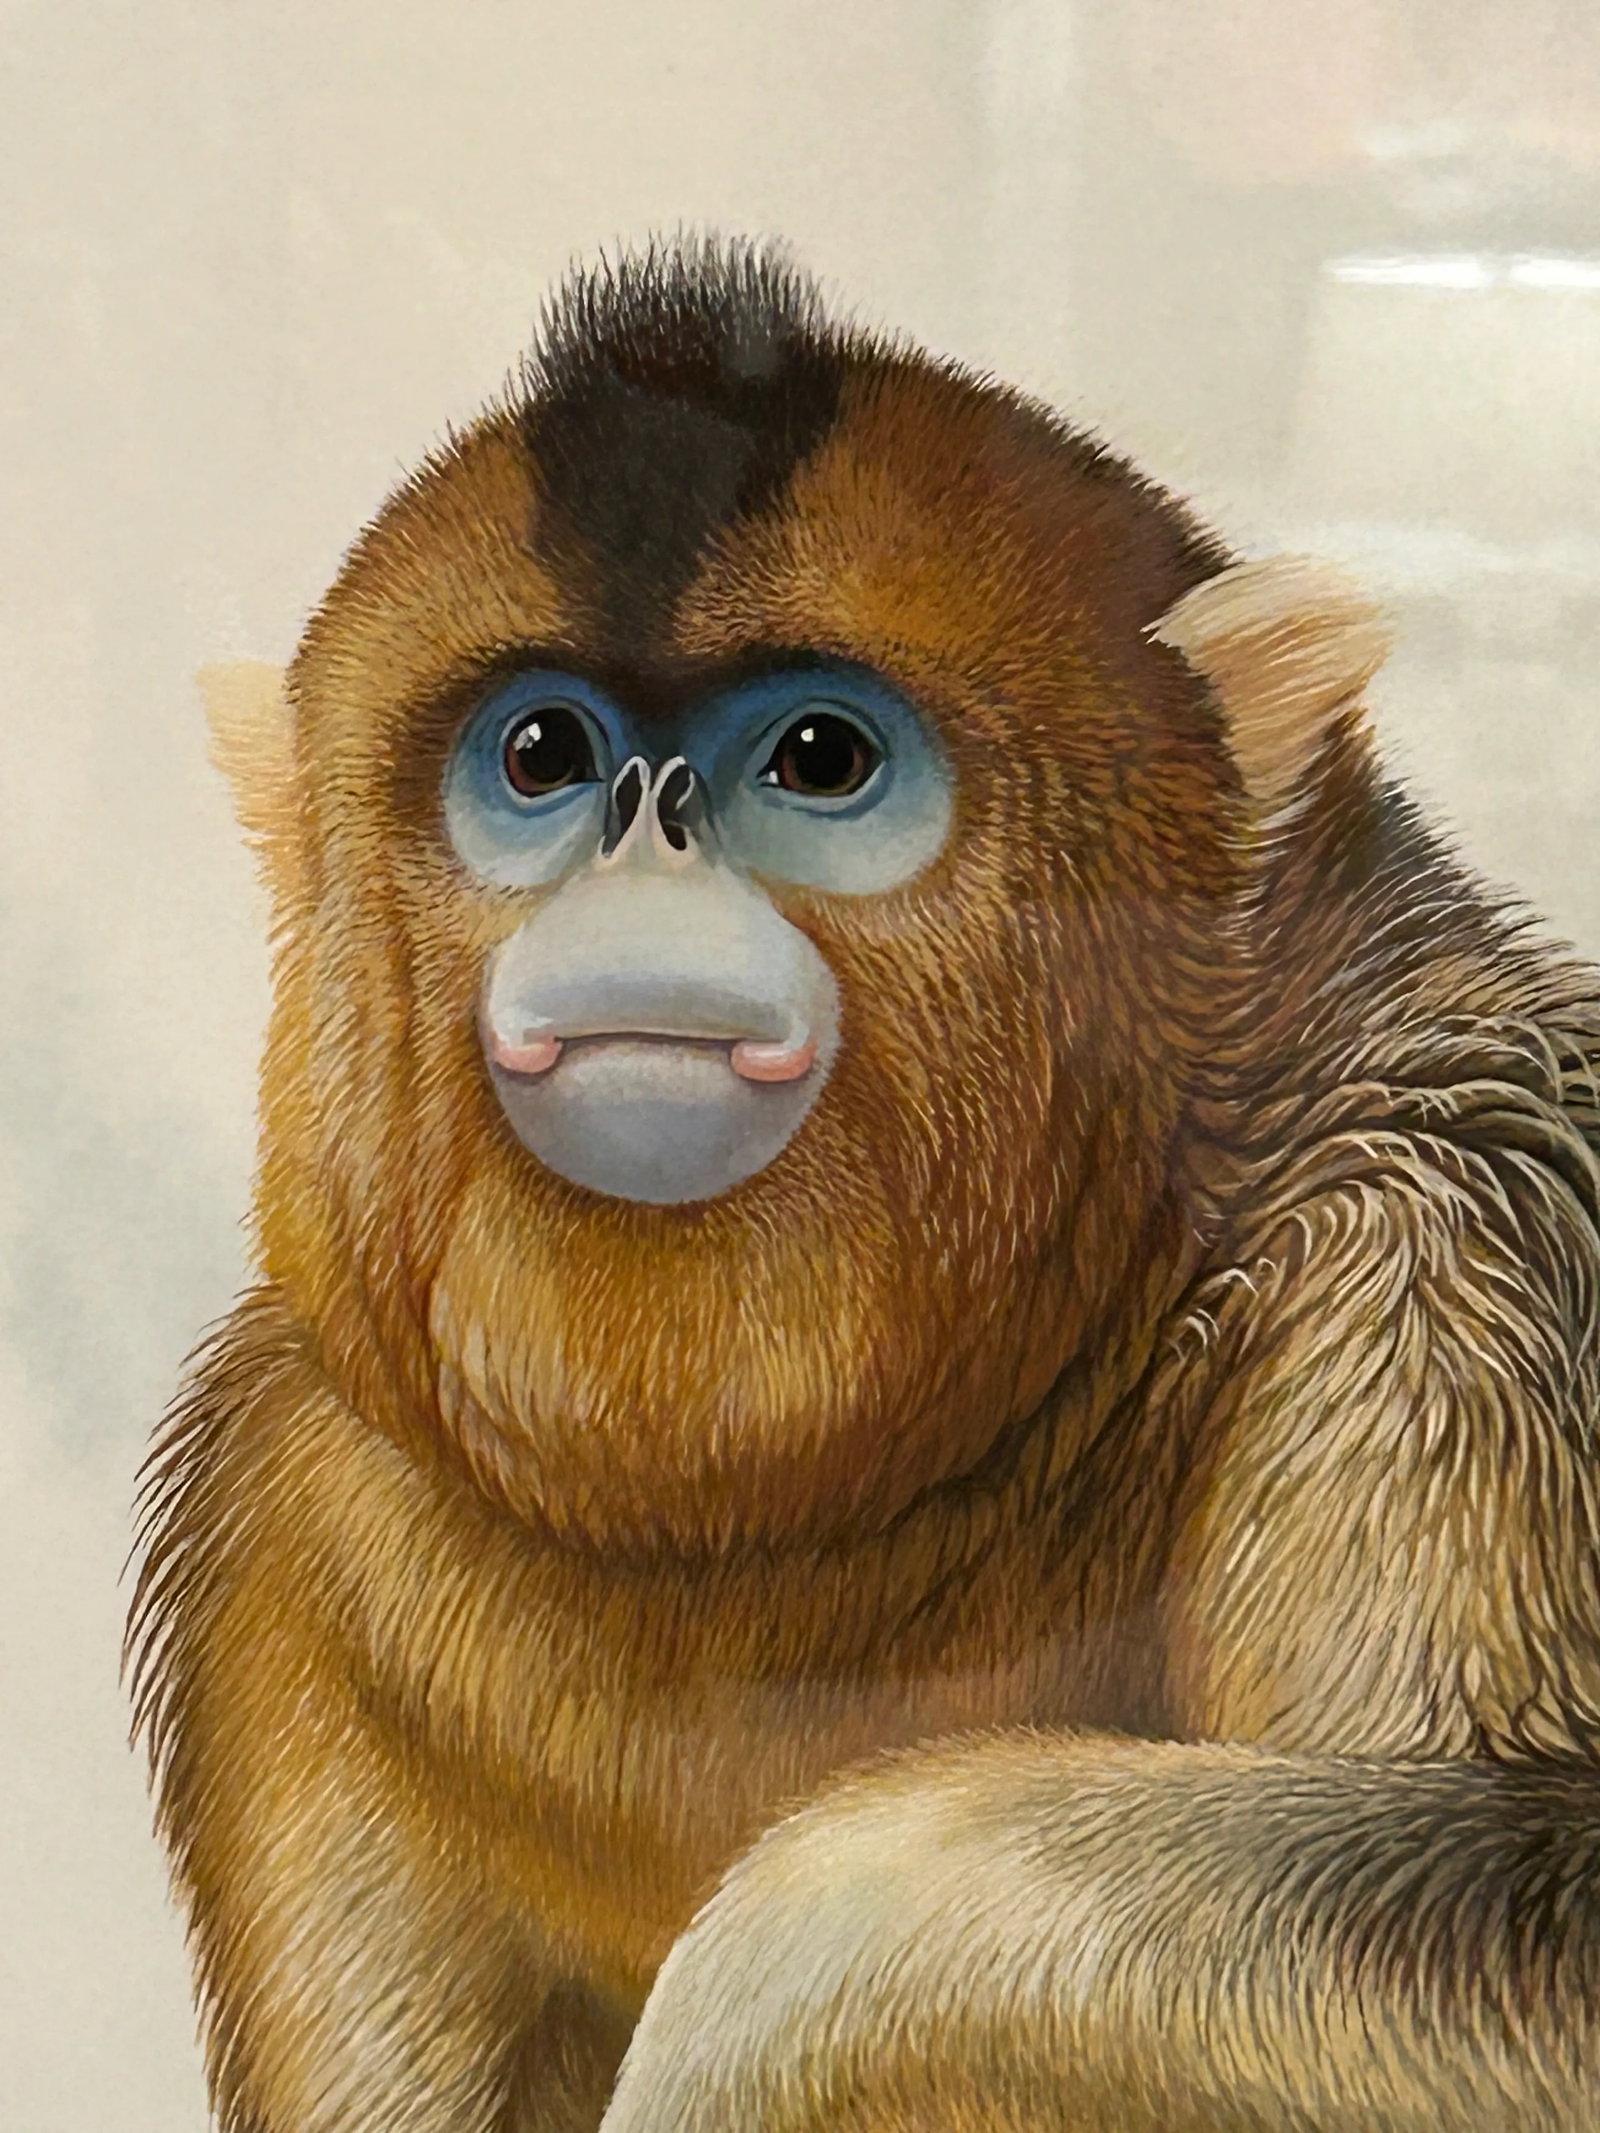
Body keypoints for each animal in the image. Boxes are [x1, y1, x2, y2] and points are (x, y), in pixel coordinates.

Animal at [127, 237, 1600, 2133]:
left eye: (822, 758)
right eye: (540, 756)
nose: (643, 828)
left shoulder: (1444, 1233)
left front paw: (747, 2013)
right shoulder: (279, 1498)